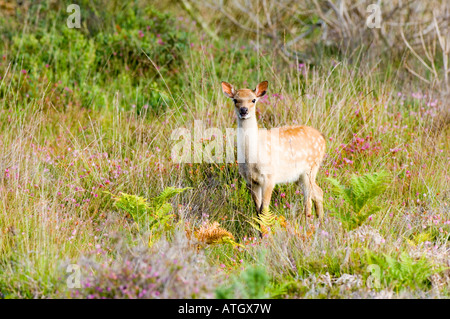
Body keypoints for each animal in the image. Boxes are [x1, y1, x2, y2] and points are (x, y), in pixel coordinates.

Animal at [222, 81, 326, 224]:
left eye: (253, 100)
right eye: (235, 100)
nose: (244, 110)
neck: (252, 160)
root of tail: (323, 139)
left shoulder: (269, 177)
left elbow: (264, 210)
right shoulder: (251, 180)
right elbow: (258, 211)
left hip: (310, 169)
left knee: (308, 201)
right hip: (298, 176)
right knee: (318, 193)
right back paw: (320, 222)